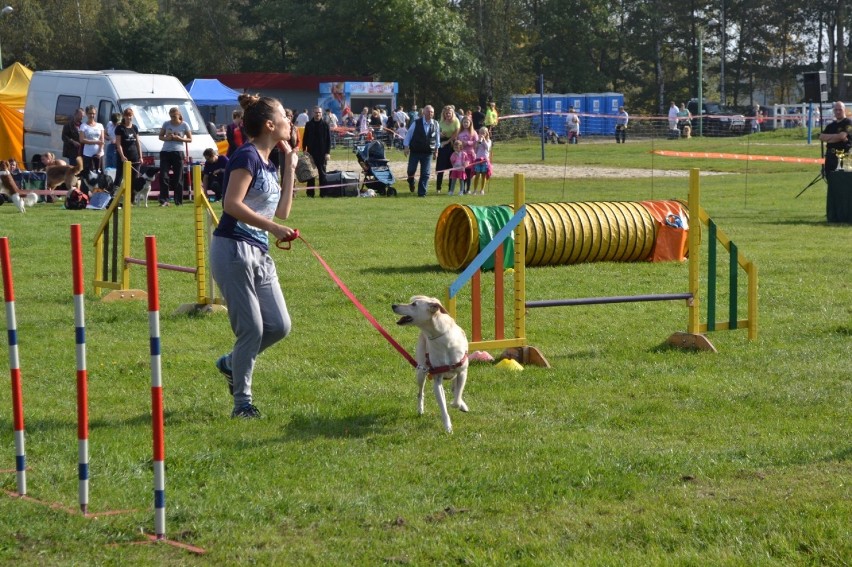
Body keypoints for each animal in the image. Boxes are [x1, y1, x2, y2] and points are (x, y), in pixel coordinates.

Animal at [392, 296, 470, 432]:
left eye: (414, 304)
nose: (394, 306)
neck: (440, 337)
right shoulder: (437, 379)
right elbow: (443, 405)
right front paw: (448, 427)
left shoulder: (462, 372)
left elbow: (457, 397)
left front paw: (459, 404)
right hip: (420, 371)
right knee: (420, 392)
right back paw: (420, 409)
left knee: (455, 387)